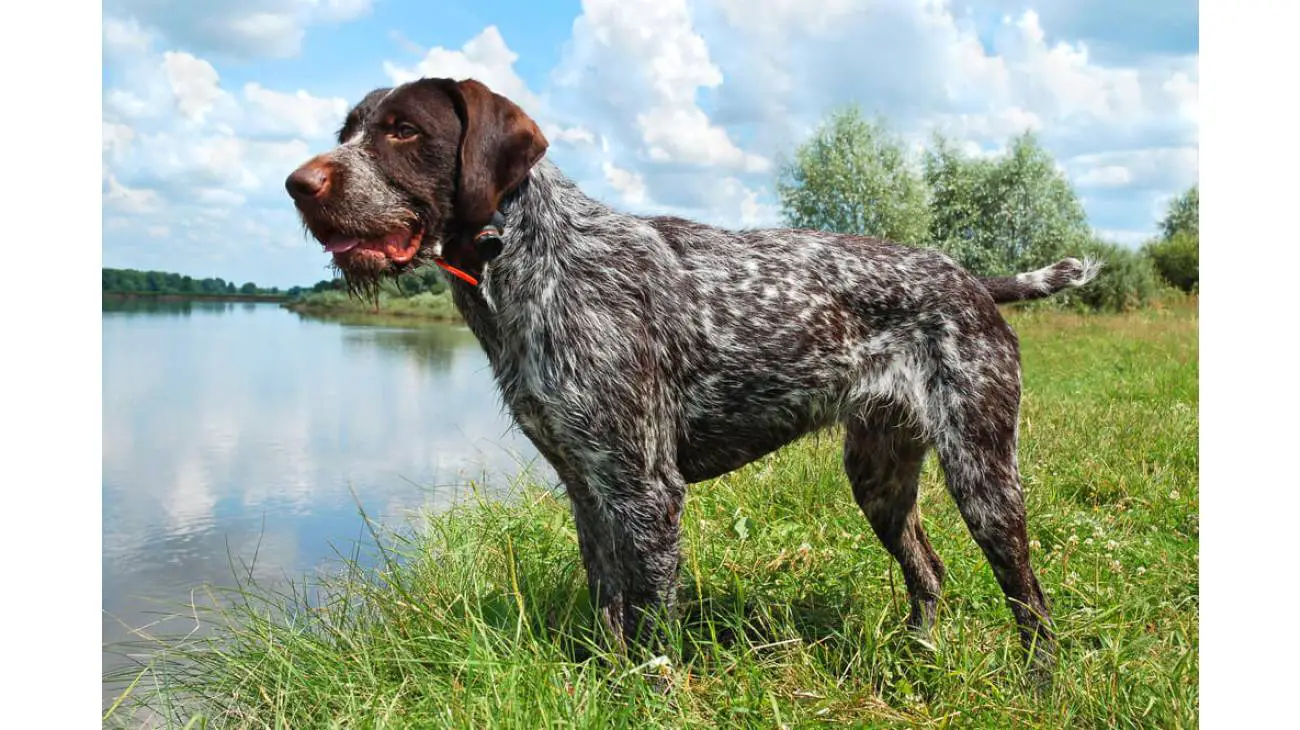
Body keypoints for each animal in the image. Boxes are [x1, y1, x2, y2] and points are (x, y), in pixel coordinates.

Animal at [284, 76, 1097, 670]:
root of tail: (971, 281)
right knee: (928, 572)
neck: (526, 260)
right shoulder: (588, 488)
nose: (298, 183)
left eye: (404, 131)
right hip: (879, 476)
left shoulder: (645, 490)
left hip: (983, 475)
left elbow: (650, 630)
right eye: (347, 132)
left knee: (1029, 598)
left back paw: (1038, 682)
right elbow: (609, 608)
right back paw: (920, 658)